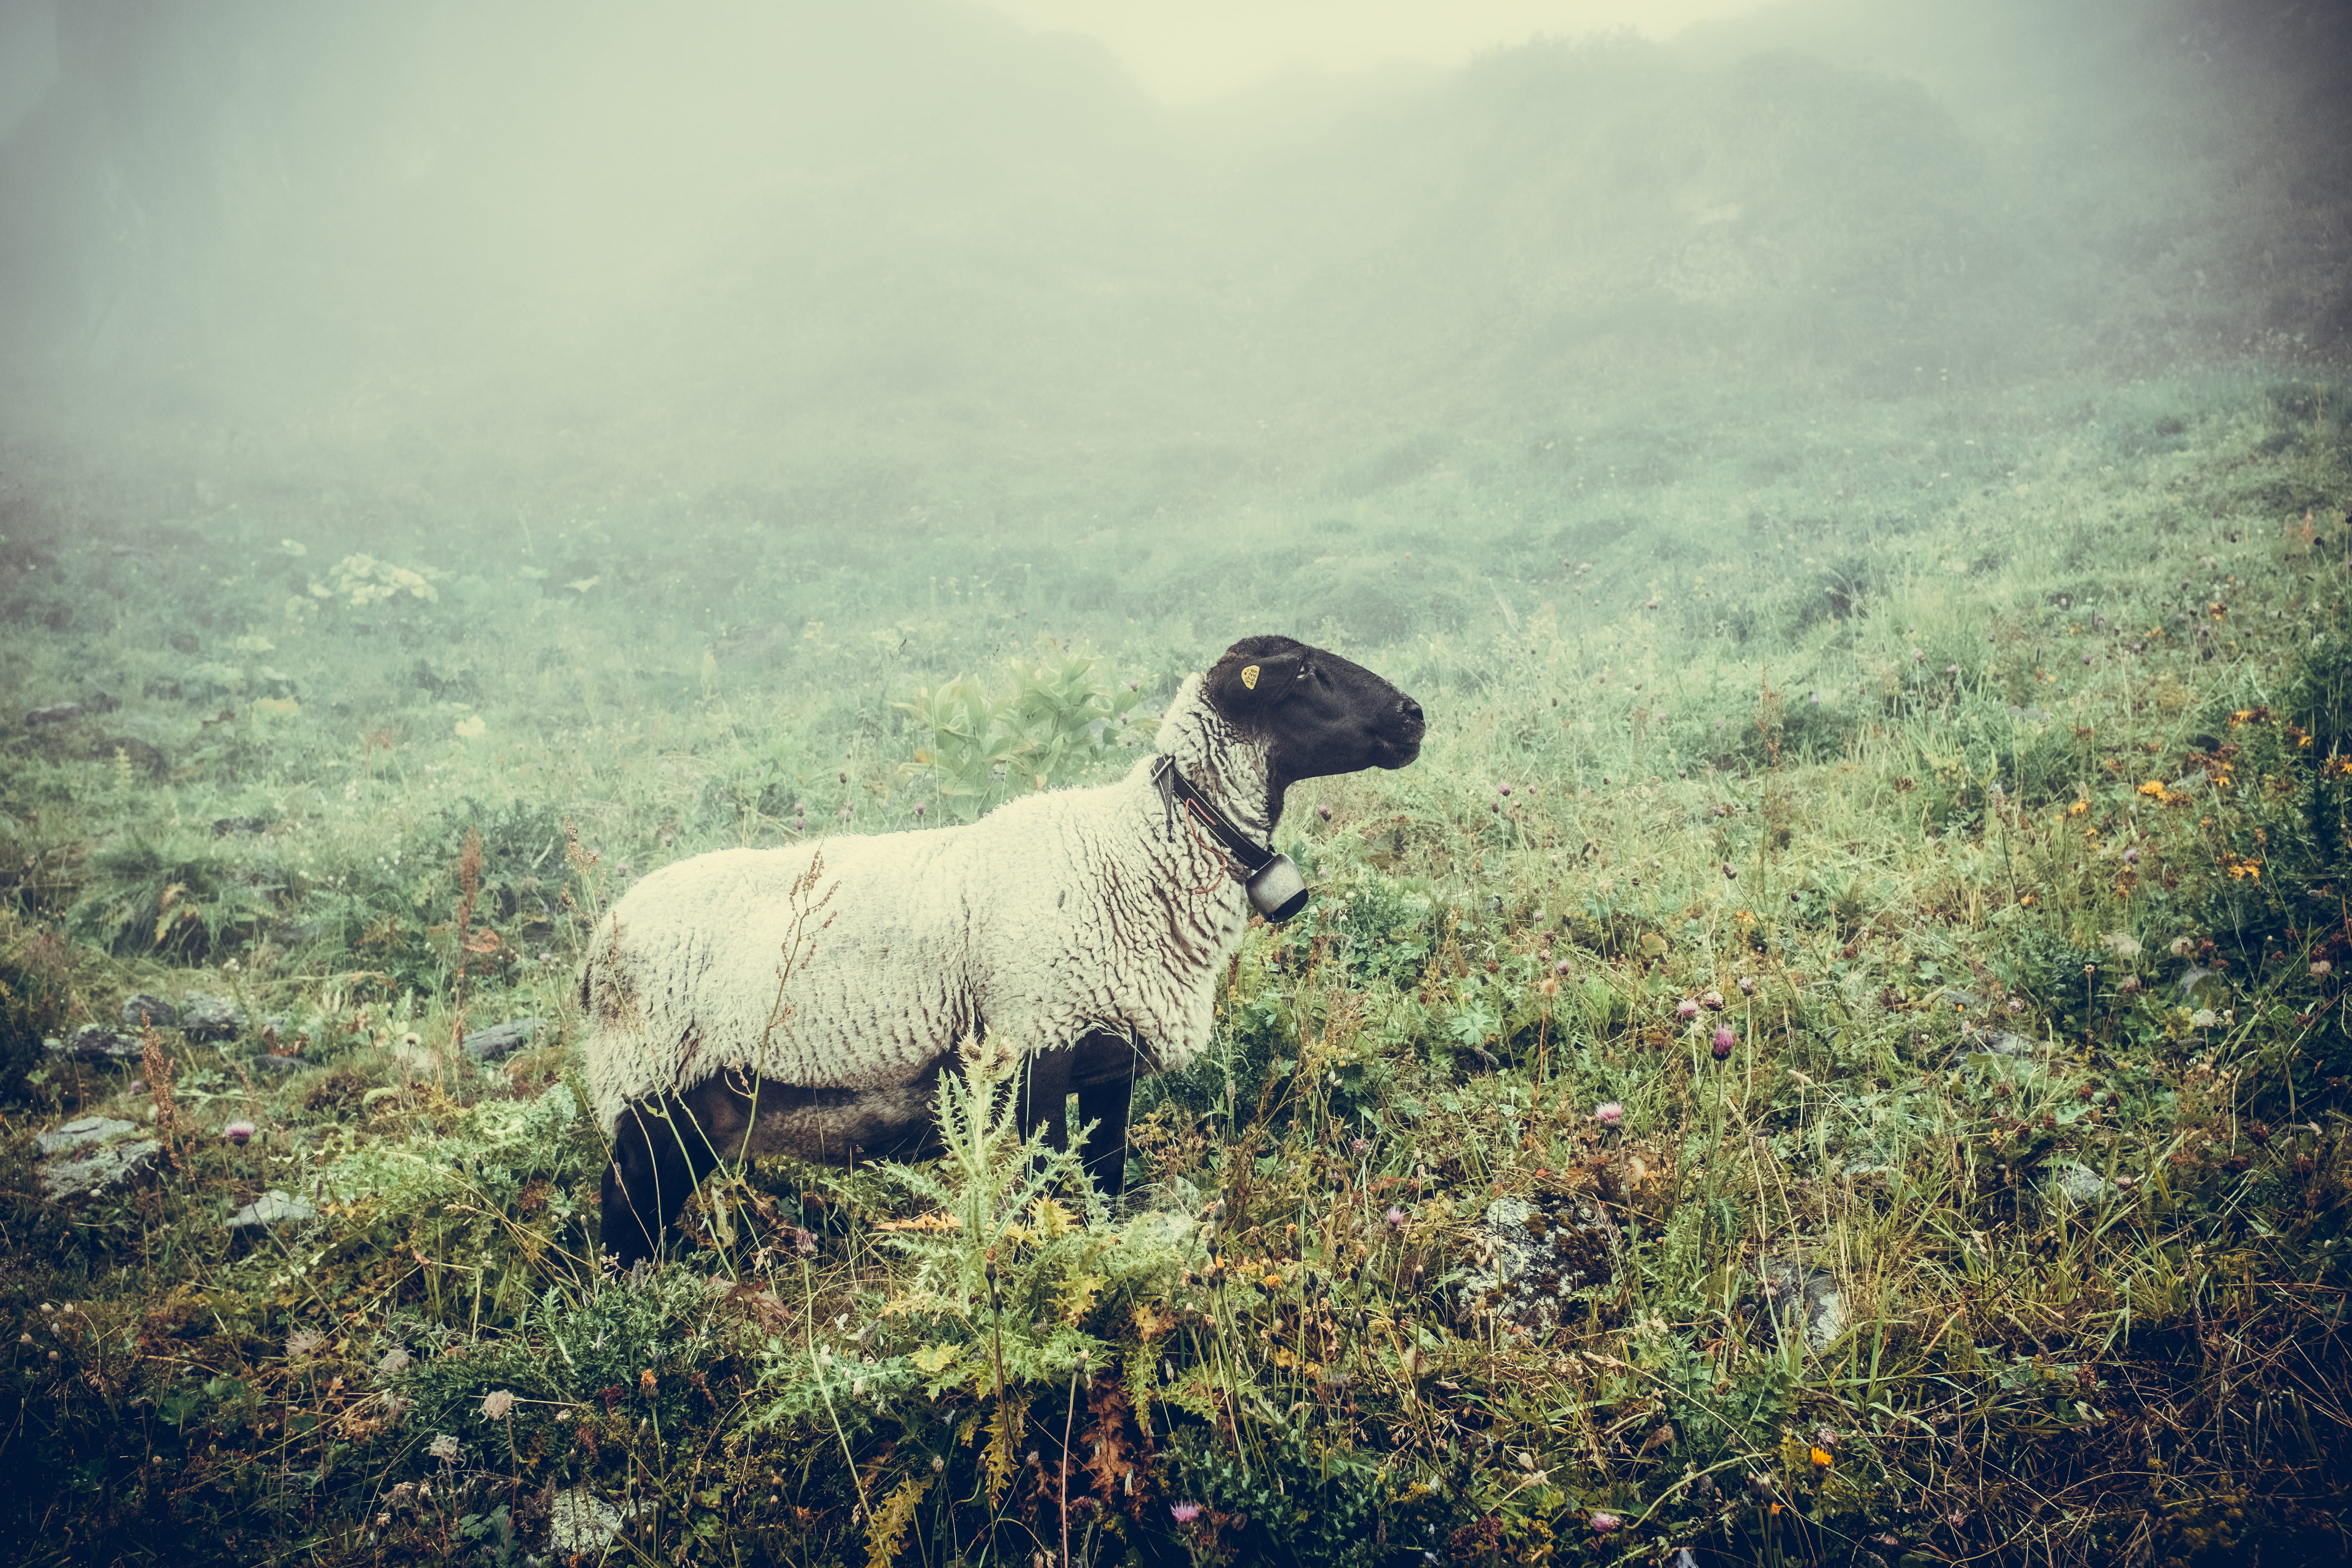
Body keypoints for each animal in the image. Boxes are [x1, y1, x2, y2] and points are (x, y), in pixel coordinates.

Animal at [581, 634, 1425, 1265]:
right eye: (1304, 672)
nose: (1414, 714)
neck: (1139, 849)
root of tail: (595, 950)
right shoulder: (1037, 1037)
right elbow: (1051, 1183)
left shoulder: (1108, 1061)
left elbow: (1105, 1182)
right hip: (646, 1086)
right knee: (619, 1221)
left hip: (703, 1111)